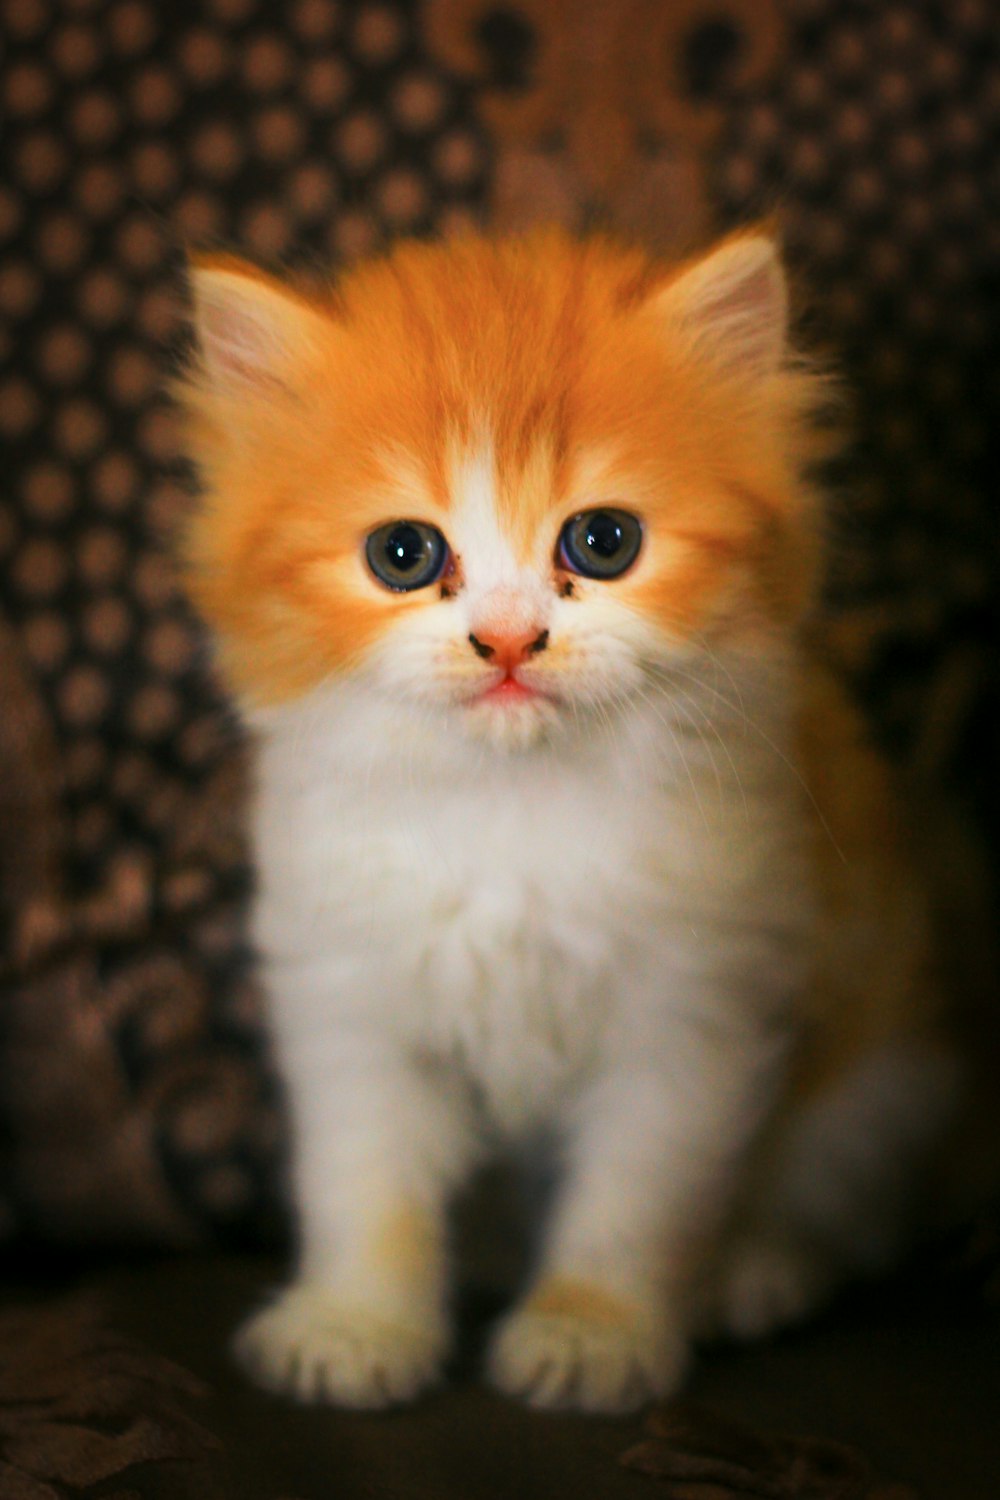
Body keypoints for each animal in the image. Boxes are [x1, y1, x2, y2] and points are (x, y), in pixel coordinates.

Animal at [177, 228, 971, 1410]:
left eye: (603, 541)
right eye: (402, 555)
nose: (507, 640)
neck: (516, 813)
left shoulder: (694, 1005)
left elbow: (635, 1196)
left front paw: (591, 1331)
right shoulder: (349, 992)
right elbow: (364, 1177)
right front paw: (358, 1322)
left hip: (882, 1074)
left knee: (835, 1205)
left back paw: (746, 1274)